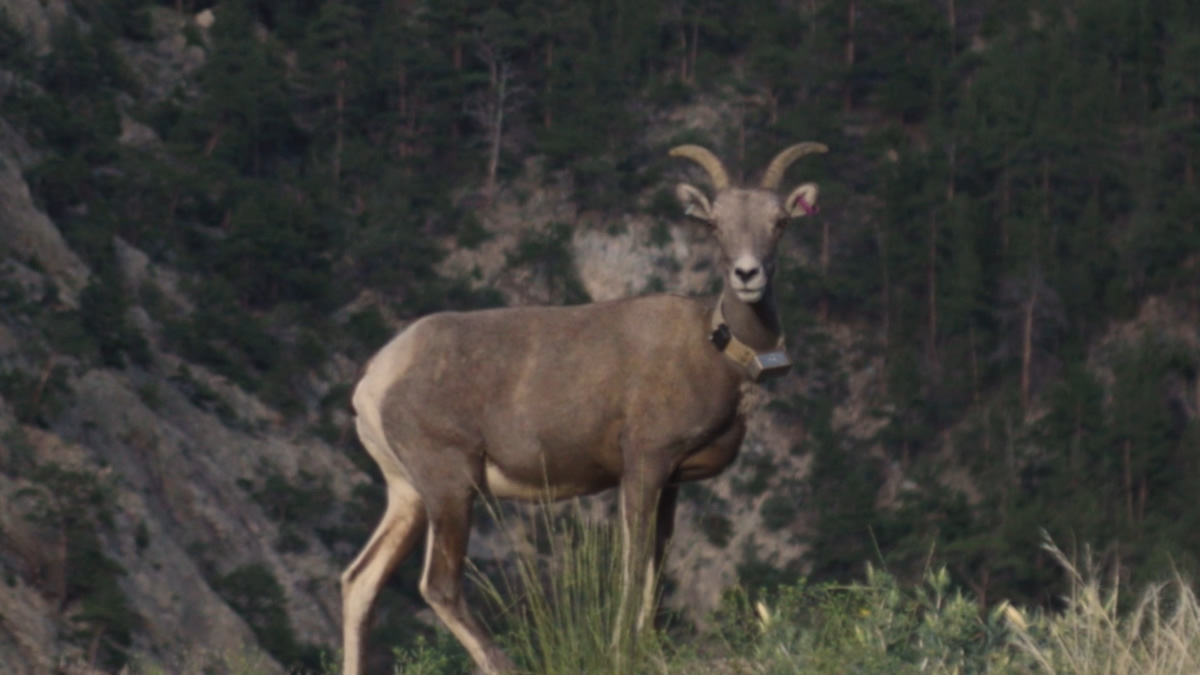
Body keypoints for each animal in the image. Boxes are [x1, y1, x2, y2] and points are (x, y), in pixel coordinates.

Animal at [338, 141, 825, 672]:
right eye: (715, 225)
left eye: (780, 222)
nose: (747, 274)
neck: (714, 351)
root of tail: (377, 375)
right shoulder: (644, 466)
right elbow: (633, 567)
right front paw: (620, 651)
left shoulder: (671, 482)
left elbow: (658, 568)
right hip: (450, 487)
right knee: (439, 587)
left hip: (408, 496)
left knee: (359, 581)